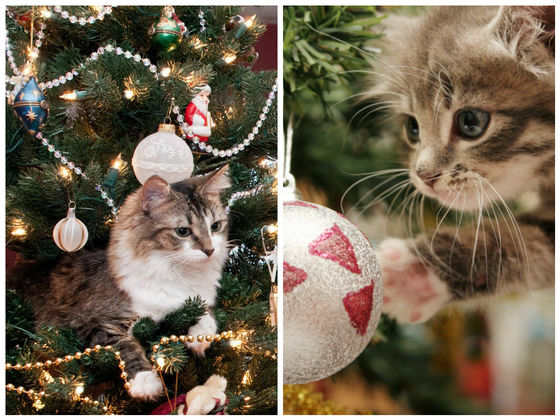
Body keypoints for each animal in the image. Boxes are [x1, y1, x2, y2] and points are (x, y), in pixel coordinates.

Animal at [8, 166, 232, 398]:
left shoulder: (194, 299)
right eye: (182, 231)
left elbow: (204, 313)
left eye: (215, 226)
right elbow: (124, 345)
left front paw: (199, 337)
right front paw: (144, 381)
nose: (210, 250)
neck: (179, 272)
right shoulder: (89, 321)